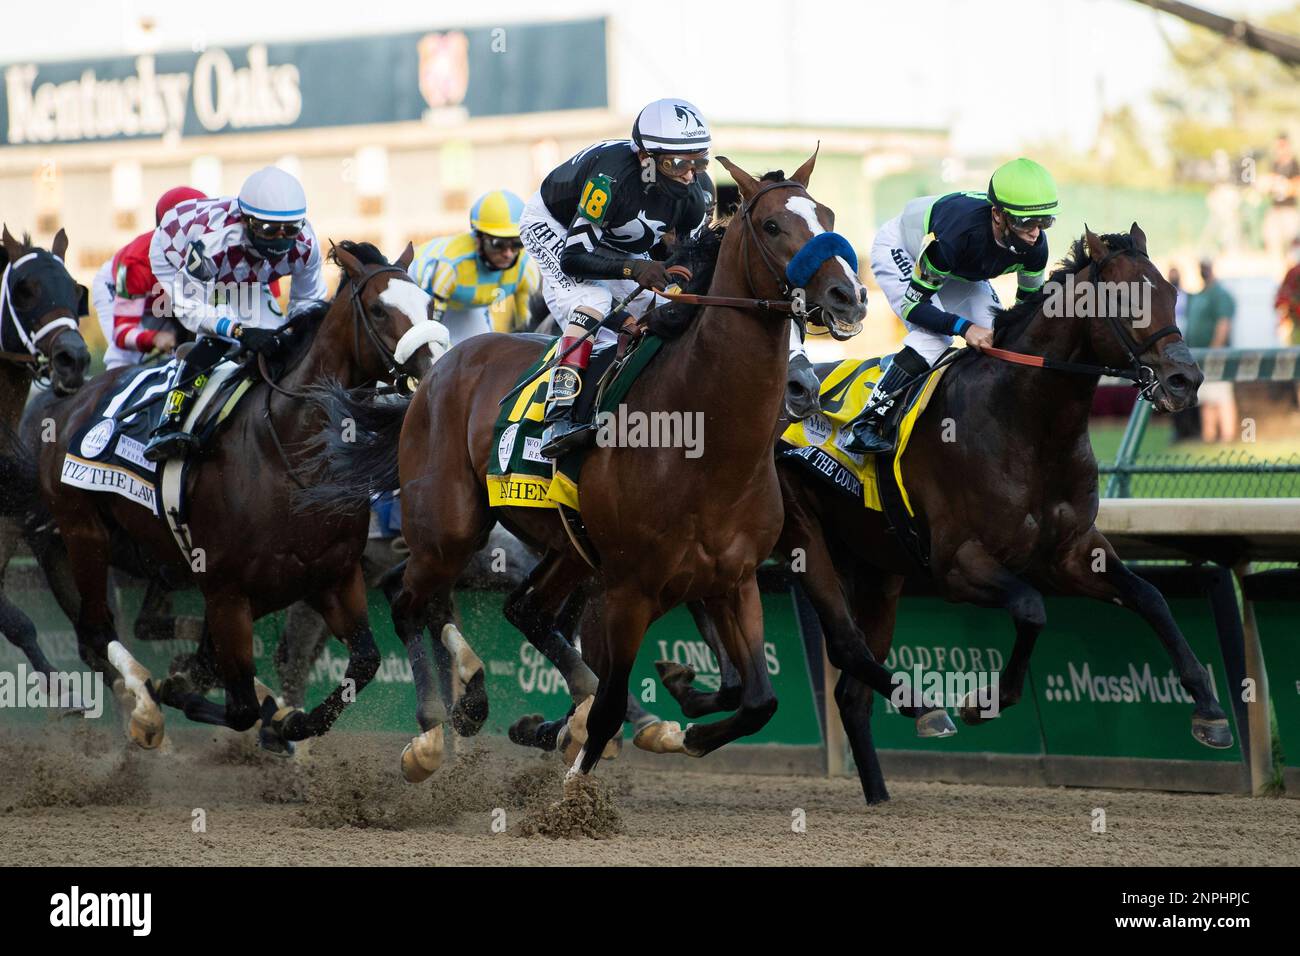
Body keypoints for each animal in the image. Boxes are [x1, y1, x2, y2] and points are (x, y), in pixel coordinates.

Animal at [29, 239, 436, 749]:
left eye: (429, 304)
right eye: (380, 310)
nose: (436, 362)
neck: (288, 456)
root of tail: (70, 402)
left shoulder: (333, 577)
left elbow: (364, 662)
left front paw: (290, 721)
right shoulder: (227, 594)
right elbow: (238, 706)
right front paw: (186, 692)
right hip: (83, 532)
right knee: (96, 631)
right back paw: (145, 709)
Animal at [304, 153, 868, 780]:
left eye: (828, 216)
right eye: (772, 226)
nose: (847, 296)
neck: (708, 443)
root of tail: (435, 370)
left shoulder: (733, 578)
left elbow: (758, 702)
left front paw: (685, 728)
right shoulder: (628, 588)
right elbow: (613, 704)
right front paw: (580, 774)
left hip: (563, 546)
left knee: (522, 609)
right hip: (447, 528)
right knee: (406, 600)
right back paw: (429, 734)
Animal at [670, 227, 1227, 806]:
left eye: (1171, 291)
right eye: (1124, 300)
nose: (1185, 380)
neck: (1027, 422)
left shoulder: (1074, 551)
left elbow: (1151, 597)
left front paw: (1209, 710)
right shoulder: (958, 565)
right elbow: (1031, 608)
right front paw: (985, 700)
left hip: (877, 568)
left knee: (850, 692)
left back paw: (878, 792)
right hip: (804, 533)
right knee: (845, 646)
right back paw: (918, 710)